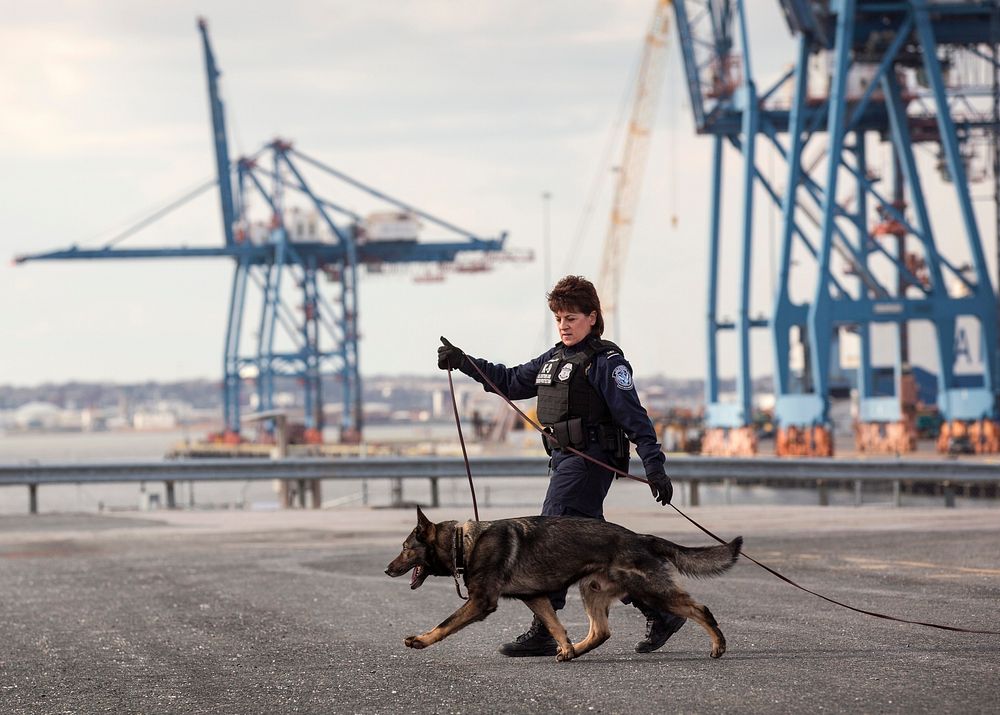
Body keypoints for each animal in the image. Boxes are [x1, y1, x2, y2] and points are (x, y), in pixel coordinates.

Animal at [382, 506, 744, 664]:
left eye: (405, 548)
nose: (386, 569)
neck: (463, 542)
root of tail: (641, 537)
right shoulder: (535, 597)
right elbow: (555, 626)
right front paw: (566, 647)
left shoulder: (481, 602)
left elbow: (444, 624)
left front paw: (420, 641)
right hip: (592, 590)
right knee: (601, 632)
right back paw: (574, 651)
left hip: (648, 589)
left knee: (699, 608)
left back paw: (718, 645)